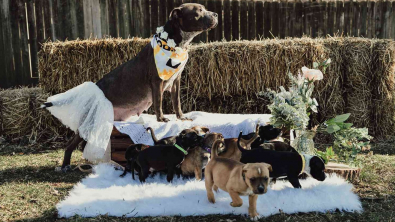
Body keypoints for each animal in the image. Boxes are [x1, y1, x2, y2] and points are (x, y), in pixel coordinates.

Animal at [41, 3, 218, 173]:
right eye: (199, 11)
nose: (216, 14)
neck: (174, 45)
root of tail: (95, 90)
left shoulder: (176, 81)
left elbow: (177, 102)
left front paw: (181, 117)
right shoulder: (157, 82)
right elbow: (158, 102)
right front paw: (161, 119)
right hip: (87, 124)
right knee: (70, 145)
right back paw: (65, 165)